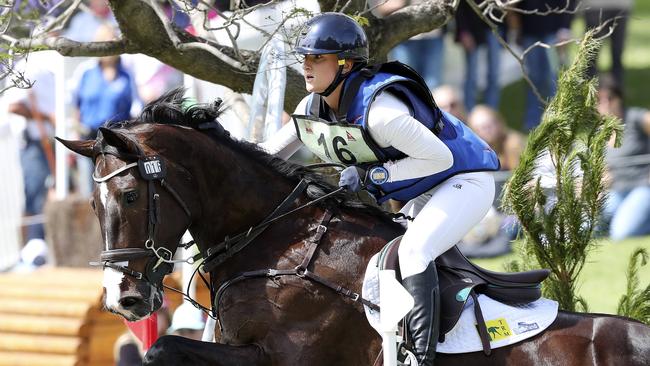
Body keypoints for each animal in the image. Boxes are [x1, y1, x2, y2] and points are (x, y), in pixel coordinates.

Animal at [60, 89, 648, 366]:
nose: (123, 299)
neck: (279, 247)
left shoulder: (283, 357)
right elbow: (165, 348)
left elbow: (162, 348)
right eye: (91, 204)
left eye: (130, 195)